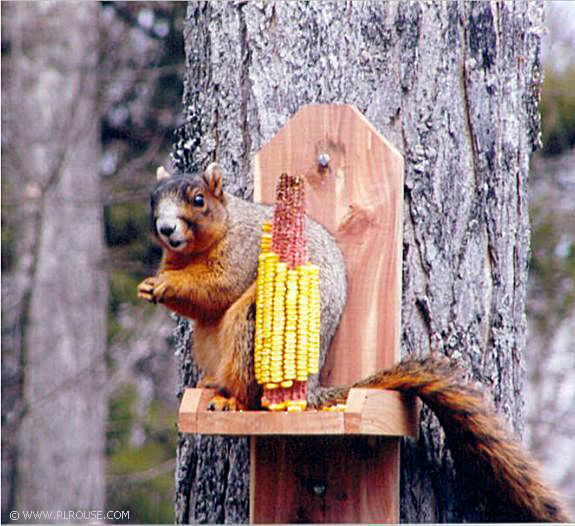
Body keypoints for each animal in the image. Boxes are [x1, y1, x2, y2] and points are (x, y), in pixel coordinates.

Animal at [137, 164, 568, 524]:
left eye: (198, 200)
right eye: (153, 200)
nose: (166, 229)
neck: (207, 242)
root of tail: (309, 391)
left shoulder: (242, 253)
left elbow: (217, 285)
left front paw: (166, 284)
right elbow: (198, 303)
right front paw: (150, 285)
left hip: (251, 325)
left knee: (249, 385)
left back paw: (231, 399)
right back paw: (212, 384)